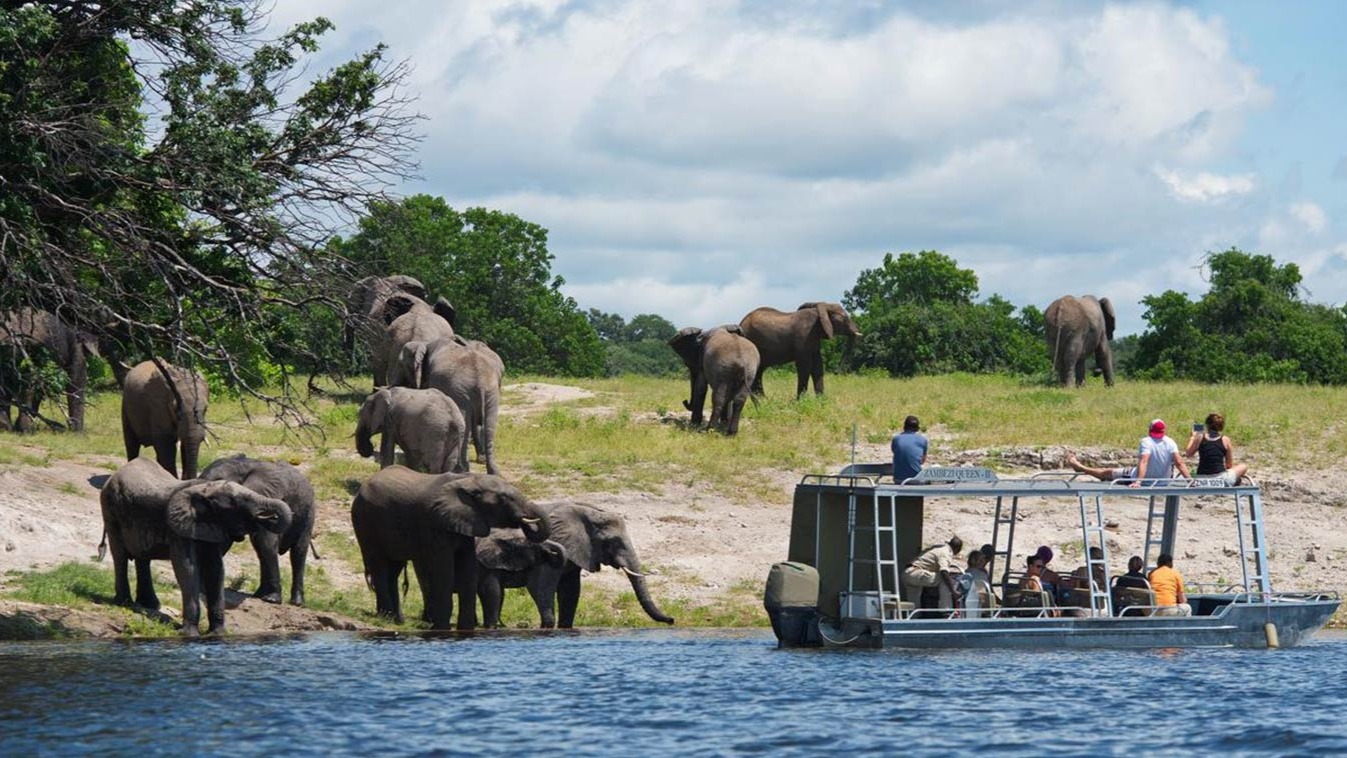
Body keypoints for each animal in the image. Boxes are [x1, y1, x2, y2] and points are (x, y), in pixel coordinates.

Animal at [98, 457, 292, 635]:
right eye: (238, 502)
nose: (268, 516)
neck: (204, 489)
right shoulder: (179, 528)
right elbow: (187, 568)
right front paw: (190, 635)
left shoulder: (209, 527)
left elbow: (216, 570)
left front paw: (218, 635)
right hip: (110, 508)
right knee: (120, 556)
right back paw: (124, 603)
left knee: (142, 558)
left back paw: (150, 605)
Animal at [199, 455, 317, 606]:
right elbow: (222, 541)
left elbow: (268, 543)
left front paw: (272, 600)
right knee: (260, 551)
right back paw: (258, 595)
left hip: (308, 512)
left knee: (298, 551)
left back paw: (295, 602)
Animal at [350, 466, 551, 629]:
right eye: (505, 499)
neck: (469, 481)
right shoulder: (436, 523)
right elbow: (444, 568)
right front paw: (442, 628)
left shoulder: (466, 522)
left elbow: (468, 567)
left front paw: (466, 629)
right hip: (364, 520)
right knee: (379, 566)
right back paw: (385, 618)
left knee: (393, 569)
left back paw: (396, 620)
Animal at [395, 337, 503, 475]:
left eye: (401, 365)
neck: (424, 343)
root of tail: (480, 379)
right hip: (491, 392)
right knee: (489, 424)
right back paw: (493, 472)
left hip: (459, 391)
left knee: (464, 423)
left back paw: (461, 470)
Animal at [477, 501, 675, 629]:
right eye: (613, 542)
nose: (672, 620)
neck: (588, 512)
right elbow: (540, 586)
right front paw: (547, 627)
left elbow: (570, 590)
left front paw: (565, 628)